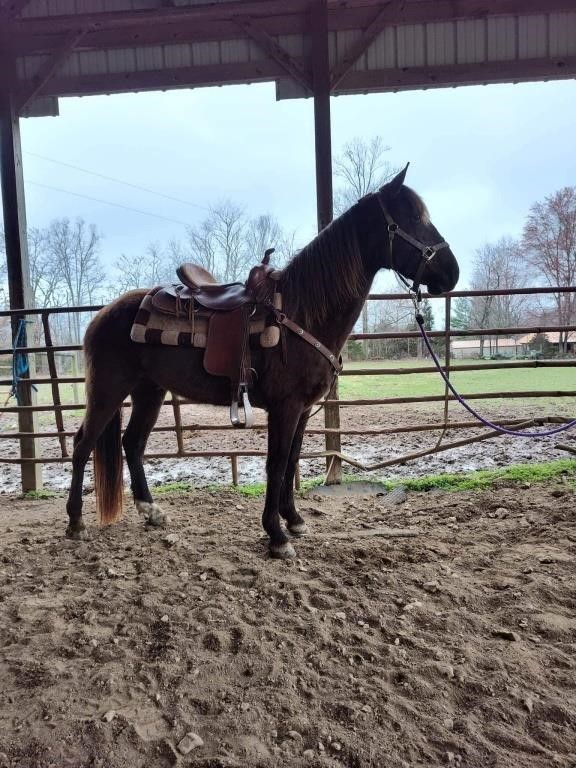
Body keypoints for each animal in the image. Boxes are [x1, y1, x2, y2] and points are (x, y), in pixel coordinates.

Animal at [65, 165, 456, 556]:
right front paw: (276, 535)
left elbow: (292, 460)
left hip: (149, 391)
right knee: (83, 443)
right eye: (412, 218)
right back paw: (75, 522)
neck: (301, 312)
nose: (452, 273)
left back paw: (151, 512)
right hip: (108, 389)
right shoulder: (285, 407)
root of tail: (102, 316)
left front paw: (294, 520)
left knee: (132, 443)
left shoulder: (302, 410)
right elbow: (277, 464)